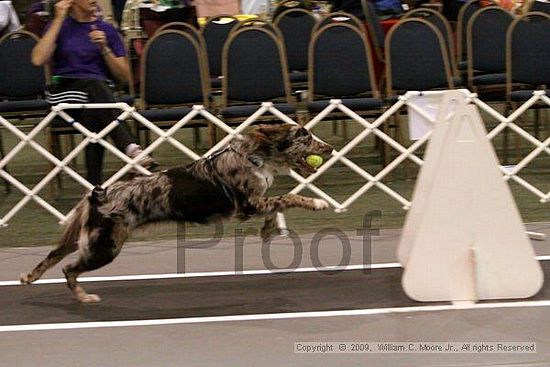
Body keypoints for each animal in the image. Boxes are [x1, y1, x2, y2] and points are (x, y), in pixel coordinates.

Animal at [19, 123, 334, 302]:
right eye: (305, 137)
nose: (330, 148)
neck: (254, 156)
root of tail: (100, 194)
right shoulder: (247, 205)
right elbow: (288, 197)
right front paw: (317, 203)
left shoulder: (254, 204)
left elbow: (277, 204)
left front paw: (268, 230)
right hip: (105, 247)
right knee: (68, 268)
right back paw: (84, 297)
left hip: (87, 239)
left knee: (52, 256)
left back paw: (29, 278)